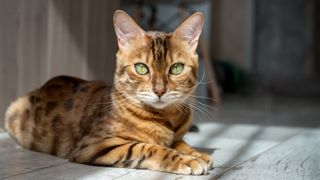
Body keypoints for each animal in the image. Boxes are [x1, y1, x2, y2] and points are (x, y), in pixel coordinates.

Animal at [4, 9, 212, 174]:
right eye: (141, 68)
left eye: (176, 68)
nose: (159, 90)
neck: (167, 118)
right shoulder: (96, 144)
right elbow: (148, 148)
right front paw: (188, 160)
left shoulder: (177, 136)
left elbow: (181, 143)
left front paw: (198, 153)